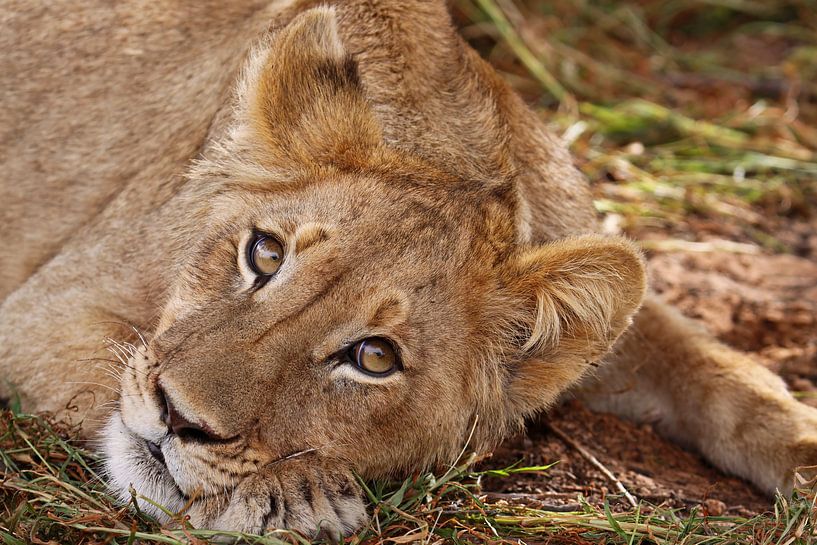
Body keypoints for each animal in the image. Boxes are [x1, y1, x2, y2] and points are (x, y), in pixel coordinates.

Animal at [0, 0, 812, 536]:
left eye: (374, 358)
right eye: (264, 252)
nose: (175, 418)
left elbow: (724, 373)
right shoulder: (44, 308)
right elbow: (110, 370)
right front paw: (289, 495)